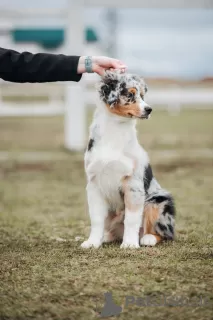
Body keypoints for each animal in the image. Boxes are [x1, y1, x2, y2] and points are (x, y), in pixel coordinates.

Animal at [80, 71, 176, 249]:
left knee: (165, 233)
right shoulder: (94, 183)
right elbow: (96, 219)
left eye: (142, 96)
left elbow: (131, 219)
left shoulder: (133, 184)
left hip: (159, 199)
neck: (115, 128)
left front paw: (130, 243)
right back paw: (106, 237)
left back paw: (147, 238)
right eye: (130, 94)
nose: (149, 109)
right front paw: (92, 242)